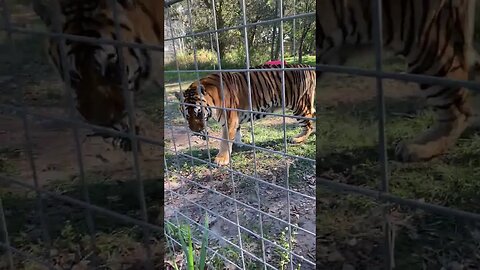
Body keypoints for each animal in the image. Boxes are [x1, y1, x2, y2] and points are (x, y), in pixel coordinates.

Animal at [174, 64, 316, 166]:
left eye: (199, 112)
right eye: (187, 115)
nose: (196, 131)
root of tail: (308, 66)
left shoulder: (229, 119)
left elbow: (225, 140)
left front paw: (221, 159)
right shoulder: (235, 119)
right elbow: (237, 132)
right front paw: (239, 143)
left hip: (299, 105)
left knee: (309, 124)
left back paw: (297, 139)